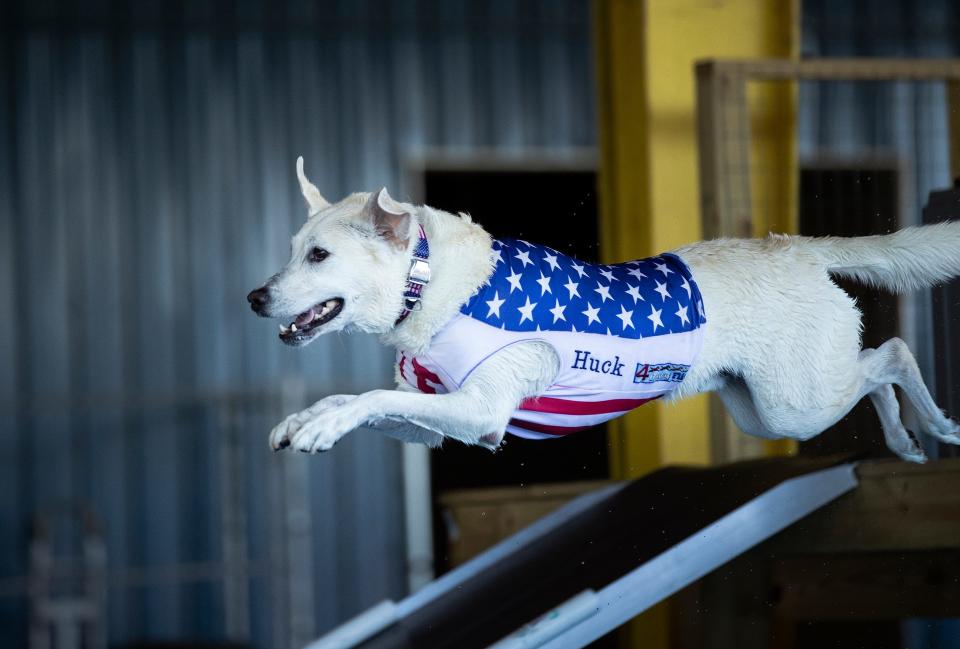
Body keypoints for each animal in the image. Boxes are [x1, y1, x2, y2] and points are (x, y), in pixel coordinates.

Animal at [248, 157, 960, 460]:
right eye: (292, 253)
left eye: (319, 256)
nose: (254, 298)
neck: (431, 285)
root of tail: (797, 247)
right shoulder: (435, 422)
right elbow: (356, 400)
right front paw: (308, 420)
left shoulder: (481, 411)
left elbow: (367, 398)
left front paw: (319, 426)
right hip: (761, 409)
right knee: (874, 371)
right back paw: (904, 440)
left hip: (795, 404)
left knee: (892, 356)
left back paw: (934, 426)